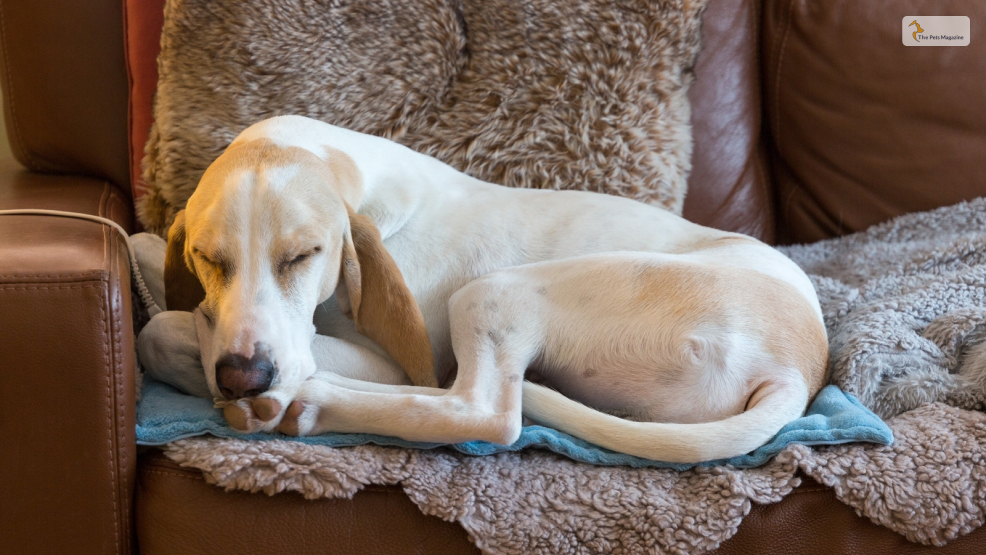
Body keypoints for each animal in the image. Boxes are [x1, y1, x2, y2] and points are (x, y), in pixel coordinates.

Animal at [138, 116, 828, 464]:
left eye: (303, 256)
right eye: (206, 257)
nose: (243, 378)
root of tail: (801, 365)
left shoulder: (386, 361)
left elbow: (161, 328)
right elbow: (149, 263)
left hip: (495, 293)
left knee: (485, 410)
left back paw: (310, 402)